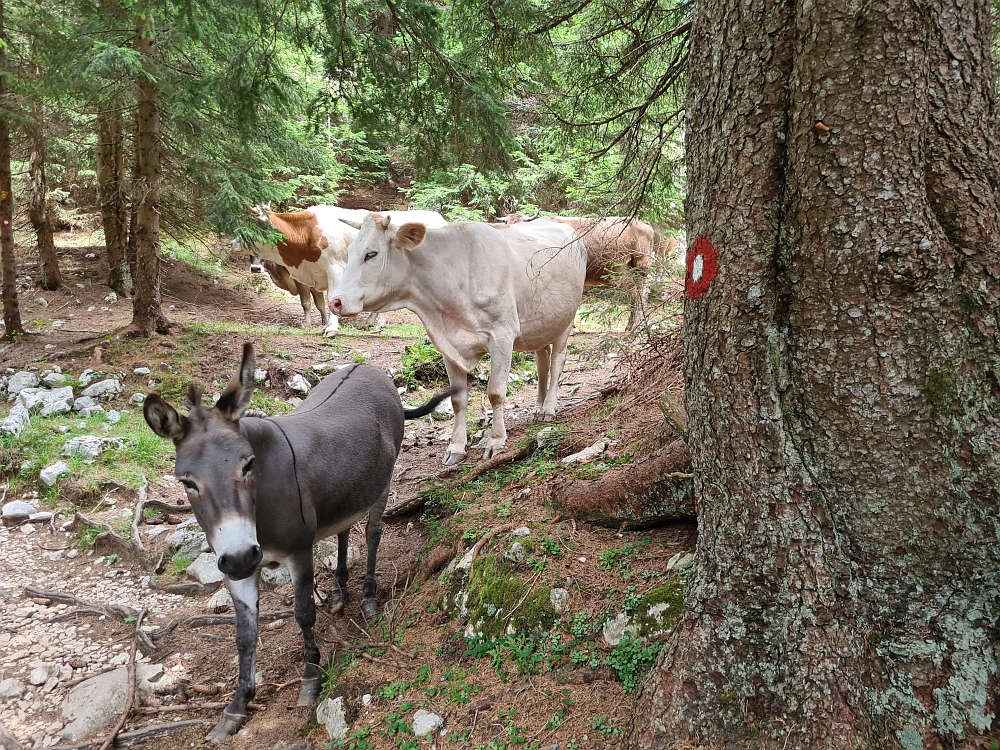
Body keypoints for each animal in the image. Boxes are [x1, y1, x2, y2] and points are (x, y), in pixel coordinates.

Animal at [249, 204, 446, 336]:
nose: (255, 267)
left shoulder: (334, 268)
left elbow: (323, 299)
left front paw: (330, 327)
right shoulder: (311, 276)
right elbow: (315, 303)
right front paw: (319, 323)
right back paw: (372, 322)